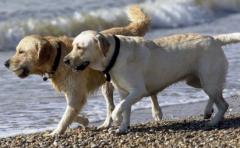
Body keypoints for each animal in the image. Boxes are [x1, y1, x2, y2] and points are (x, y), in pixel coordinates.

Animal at [4, 5, 162, 135]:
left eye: (21, 52)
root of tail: (128, 29)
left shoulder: (76, 93)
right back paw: (106, 123)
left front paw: (55, 132)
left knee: (151, 92)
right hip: (107, 85)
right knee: (110, 106)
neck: (58, 58)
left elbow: (66, 116)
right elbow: (71, 114)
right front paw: (84, 120)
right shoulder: (71, 92)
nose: (5, 63)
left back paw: (157, 113)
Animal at [64, 31, 240, 133]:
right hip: (198, 81)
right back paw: (208, 111)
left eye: (80, 47)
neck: (114, 55)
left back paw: (213, 121)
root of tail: (215, 39)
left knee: (223, 103)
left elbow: (120, 107)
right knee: (217, 93)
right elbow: (126, 108)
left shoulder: (137, 91)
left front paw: (116, 118)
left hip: (208, 79)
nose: (65, 61)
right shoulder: (124, 93)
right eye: (72, 46)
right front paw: (123, 128)